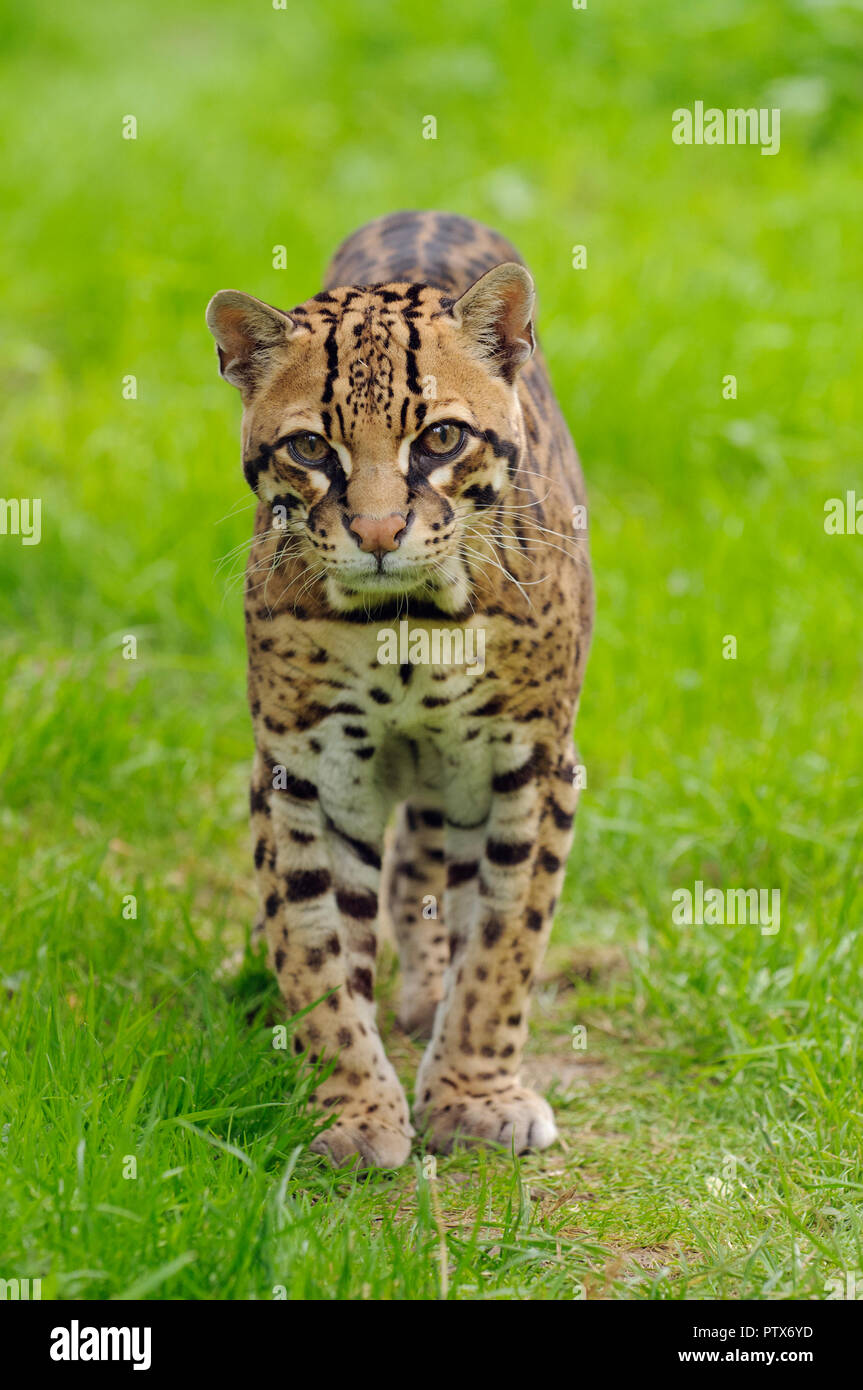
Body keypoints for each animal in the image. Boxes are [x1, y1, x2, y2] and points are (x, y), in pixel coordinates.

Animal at [207, 211, 592, 1167]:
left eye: (441, 440)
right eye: (311, 448)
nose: (379, 534)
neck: (409, 618)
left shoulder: (530, 762)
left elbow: (501, 942)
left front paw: (473, 1095)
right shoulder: (306, 770)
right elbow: (315, 947)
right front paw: (351, 1109)